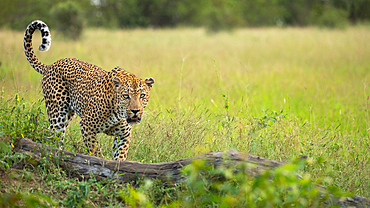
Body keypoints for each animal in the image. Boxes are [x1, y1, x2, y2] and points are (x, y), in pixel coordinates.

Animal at [23, 19, 154, 161]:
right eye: (126, 96)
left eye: (142, 95)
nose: (135, 111)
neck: (118, 112)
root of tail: (51, 65)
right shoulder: (87, 125)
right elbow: (96, 152)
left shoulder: (124, 134)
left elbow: (120, 156)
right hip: (57, 115)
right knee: (54, 137)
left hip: (68, 114)